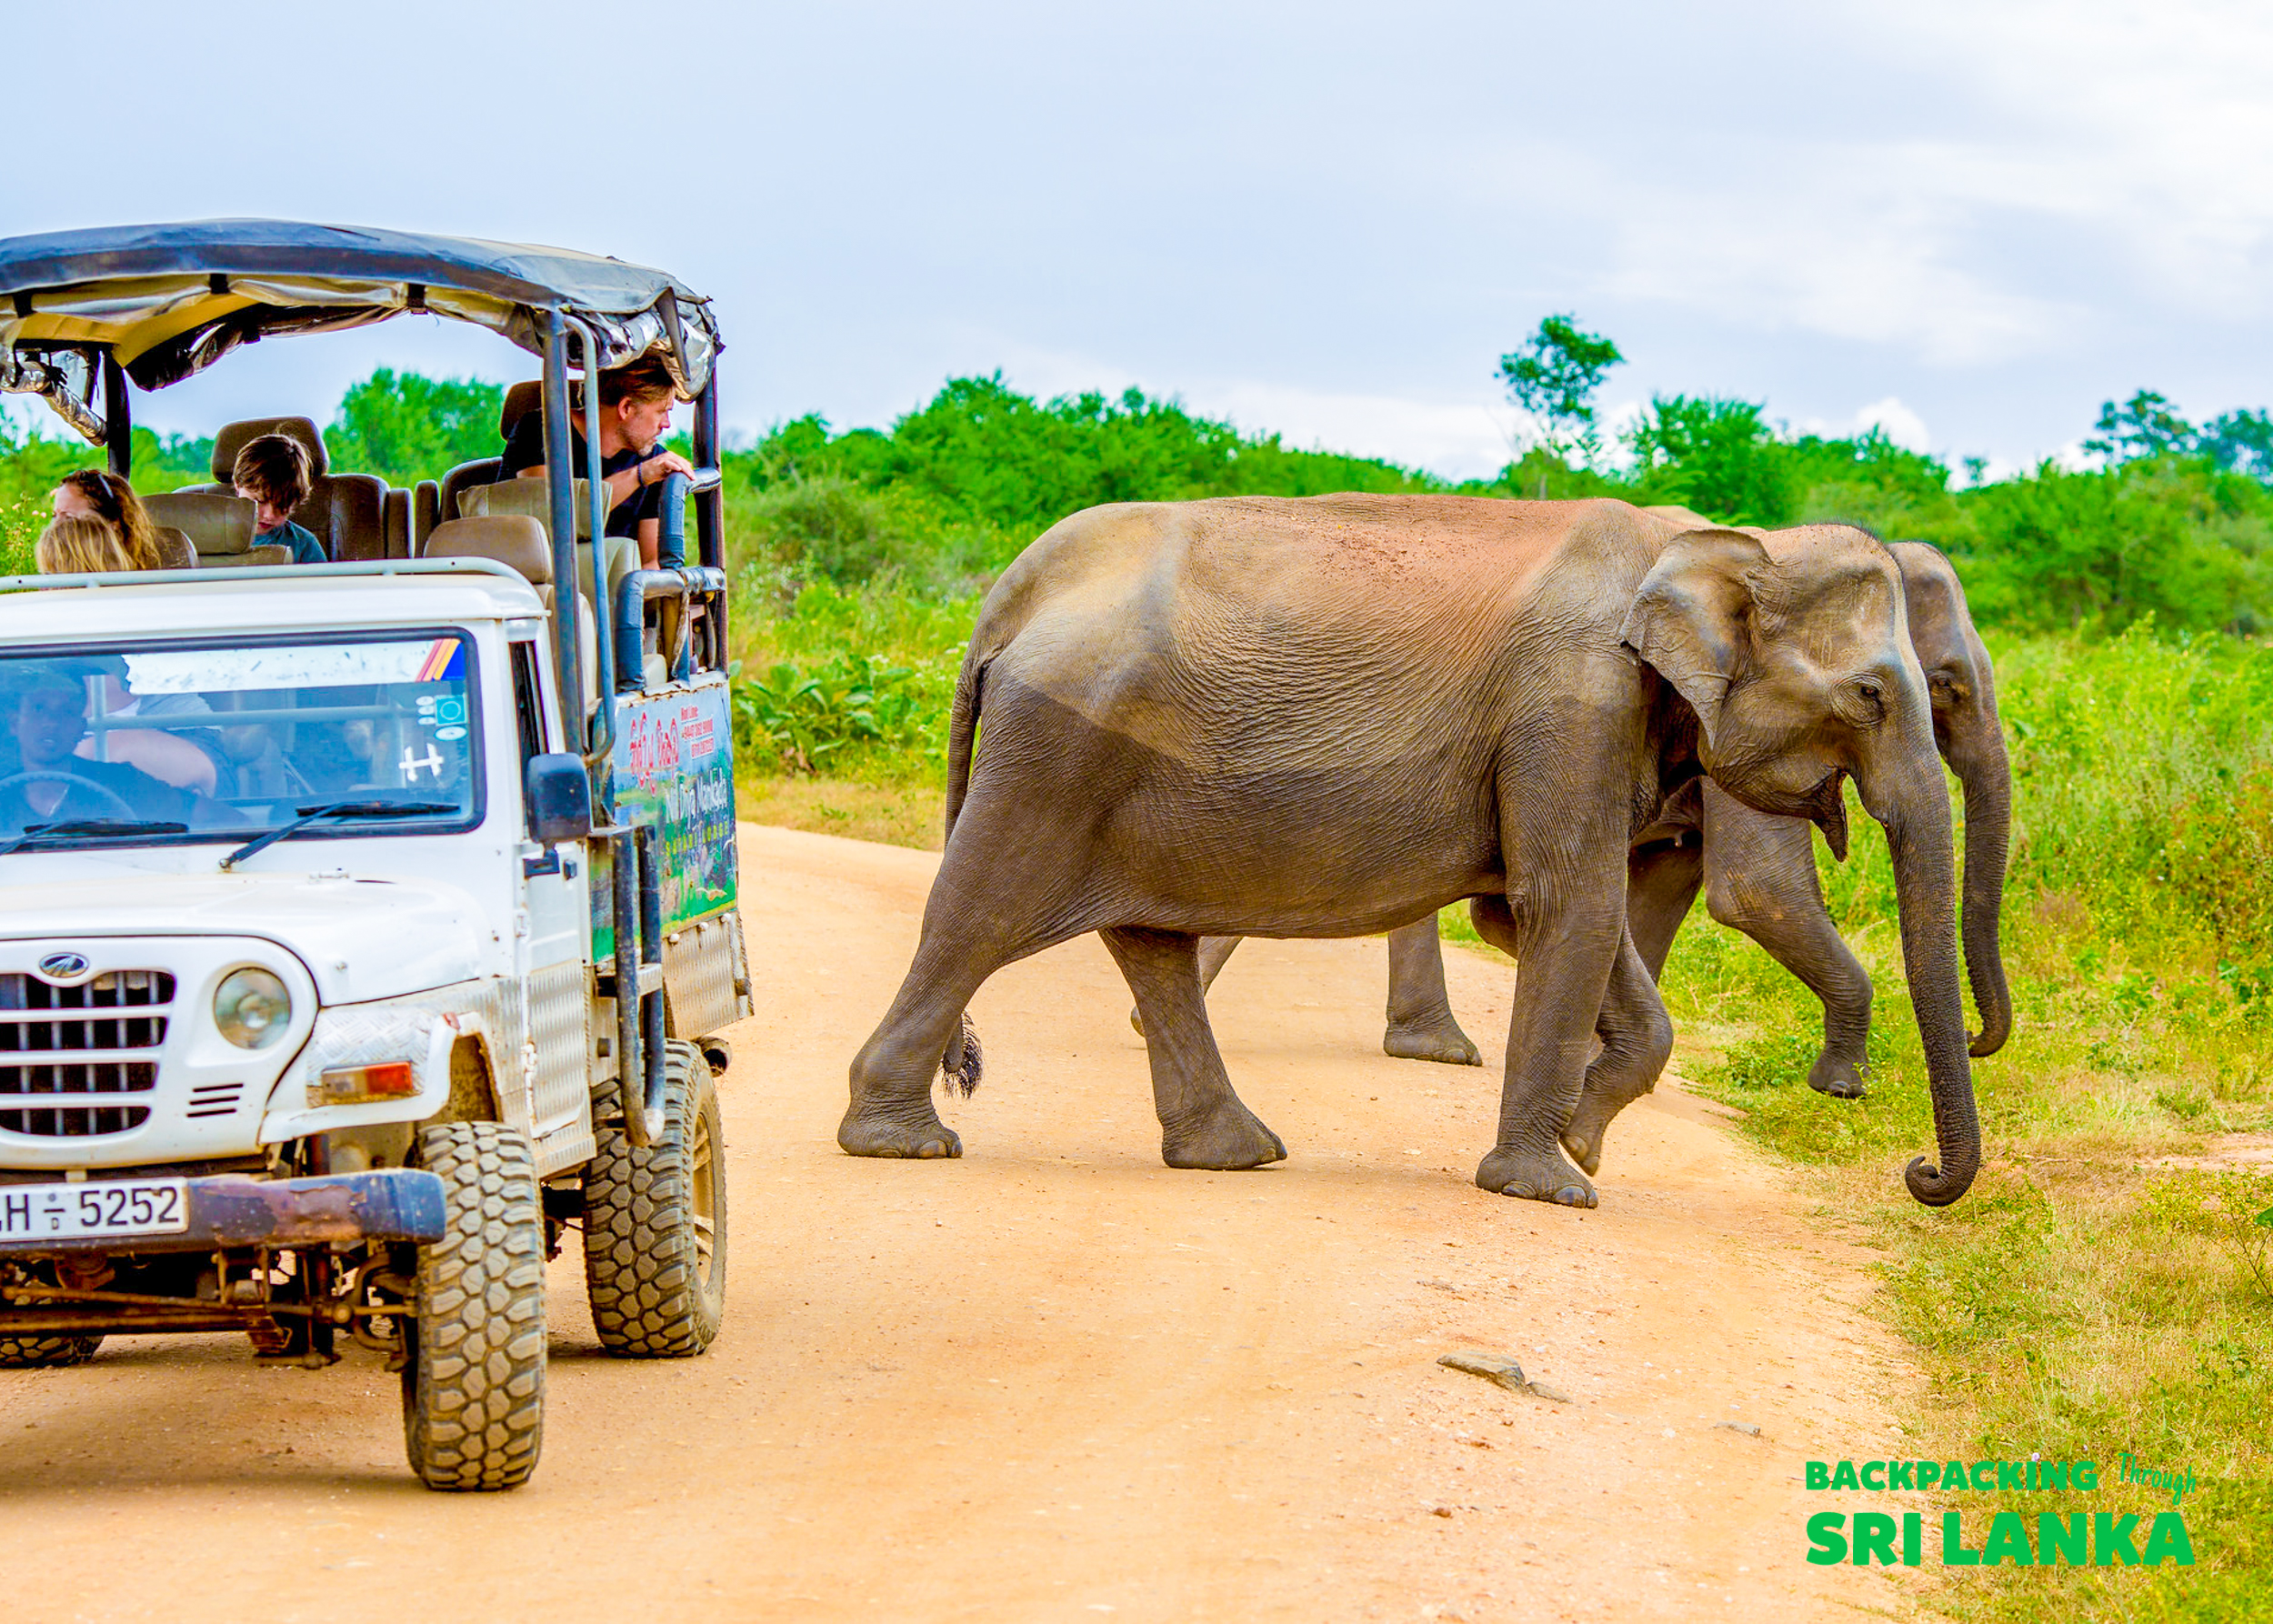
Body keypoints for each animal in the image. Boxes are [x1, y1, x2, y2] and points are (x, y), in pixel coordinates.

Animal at [1172, 540, 2013, 1141]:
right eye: (1937, 688)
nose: (1977, 1039)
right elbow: (1753, 891)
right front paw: (1841, 1083)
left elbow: (1666, 886)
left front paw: (1593, 1079)